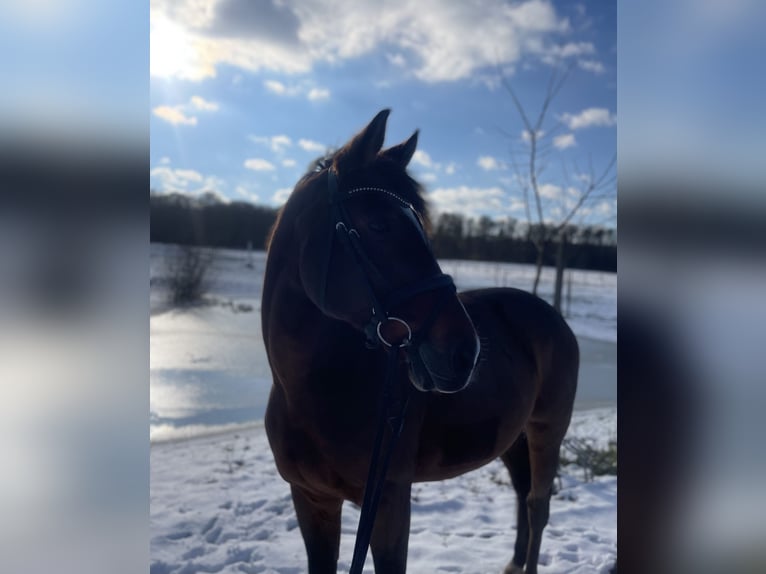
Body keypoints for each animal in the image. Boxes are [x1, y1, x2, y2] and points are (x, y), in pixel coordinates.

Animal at [262, 109, 578, 574]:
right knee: (523, 494)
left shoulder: (389, 504)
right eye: (379, 224)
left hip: (547, 429)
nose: (466, 353)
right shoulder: (312, 500)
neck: (311, 394)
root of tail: (552, 316)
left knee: (538, 506)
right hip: (514, 436)